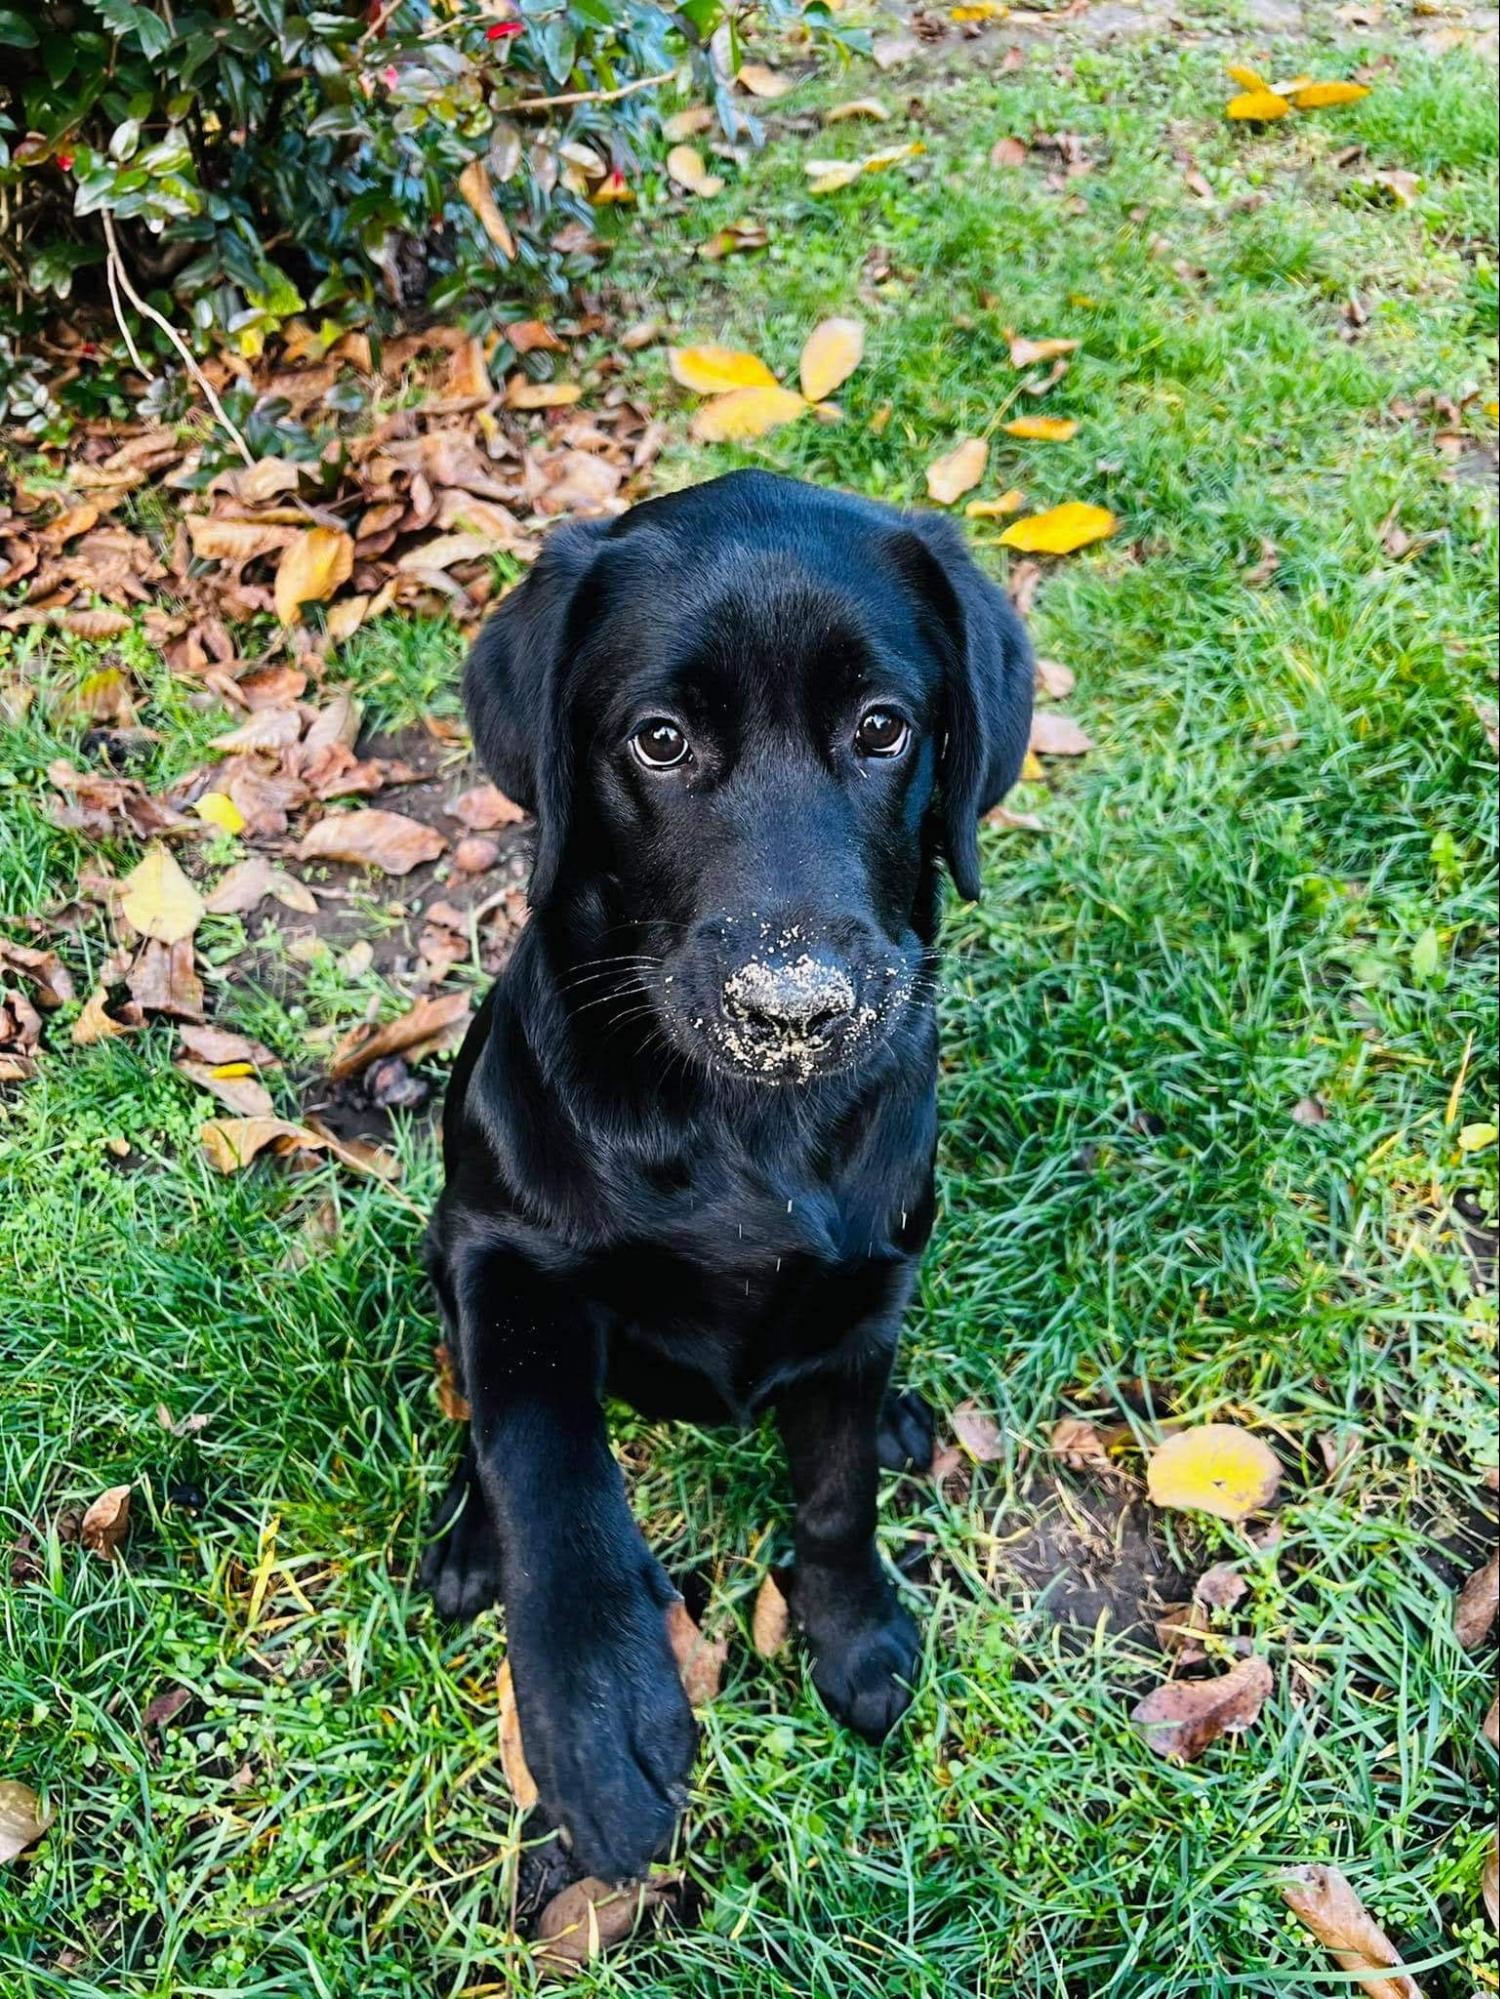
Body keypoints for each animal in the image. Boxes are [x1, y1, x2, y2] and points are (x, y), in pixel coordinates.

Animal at [420, 463, 1032, 1871]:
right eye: (658, 742)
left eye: (883, 729)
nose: (794, 1010)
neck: (741, 1128)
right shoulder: (509, 1254)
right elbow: (546, 1466)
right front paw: (599, 1712)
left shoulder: (862, 1285)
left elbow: (837, 1493)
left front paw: (854, 1634)